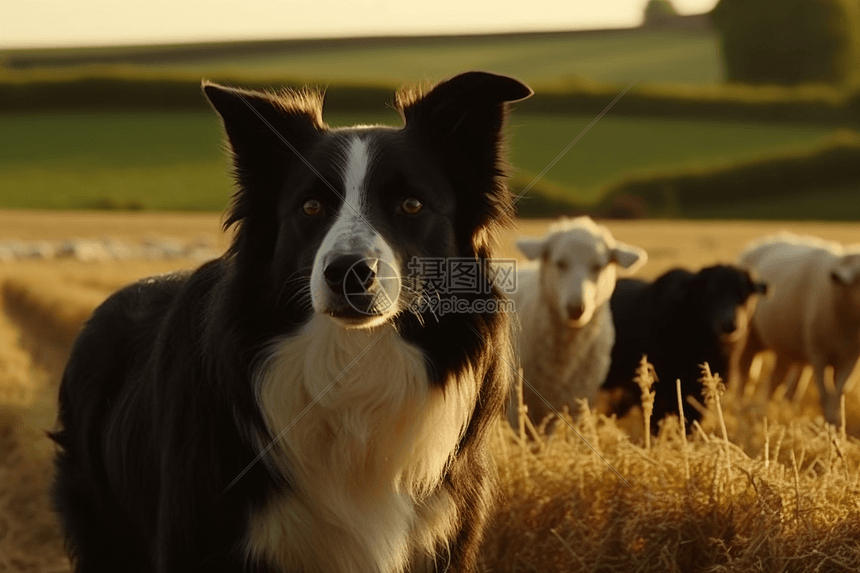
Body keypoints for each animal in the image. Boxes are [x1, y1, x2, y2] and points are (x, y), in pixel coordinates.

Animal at [732, 232, 860, 424]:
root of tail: (758, 243)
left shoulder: (849, 358)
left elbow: (839, 392)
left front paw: (836, 422)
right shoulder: (818, 353)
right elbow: (825, 392)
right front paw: (829, 422)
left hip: (784, 347)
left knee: (775, 380)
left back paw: (771, 410)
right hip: (750, 336)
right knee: (746, 371)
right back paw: (741, 406)